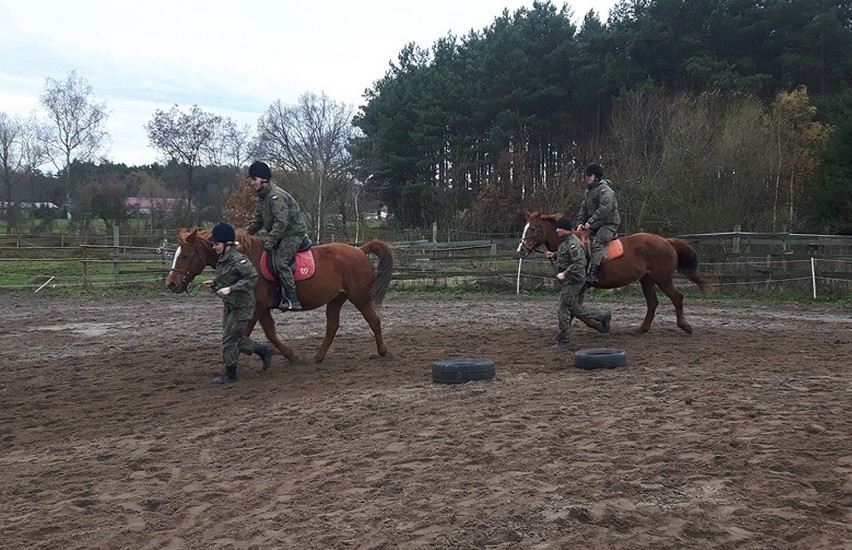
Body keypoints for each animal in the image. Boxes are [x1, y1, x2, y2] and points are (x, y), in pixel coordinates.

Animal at [165, 230, 394, 364]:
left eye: (186, 255)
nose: (171, 283)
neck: (247, 261)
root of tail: (360, 250)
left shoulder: (256, 307)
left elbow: (244, 334)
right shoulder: (262, 308)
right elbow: (270, 333)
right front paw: (289, 355)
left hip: (360, 297)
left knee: (374, 321)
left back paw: (383, 351)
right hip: (336, 299)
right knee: (332, 327)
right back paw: (318, 357)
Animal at [520, 212, 712, 334]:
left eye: (533, 229)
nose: (521, 250)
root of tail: (667, 241)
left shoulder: (579, 287)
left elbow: (579, 312)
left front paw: (602, 326)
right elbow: (576, 311)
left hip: (663, 279)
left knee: (677, 298)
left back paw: (685, 326)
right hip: (647, 280)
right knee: (653, 303)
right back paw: (642, 329)